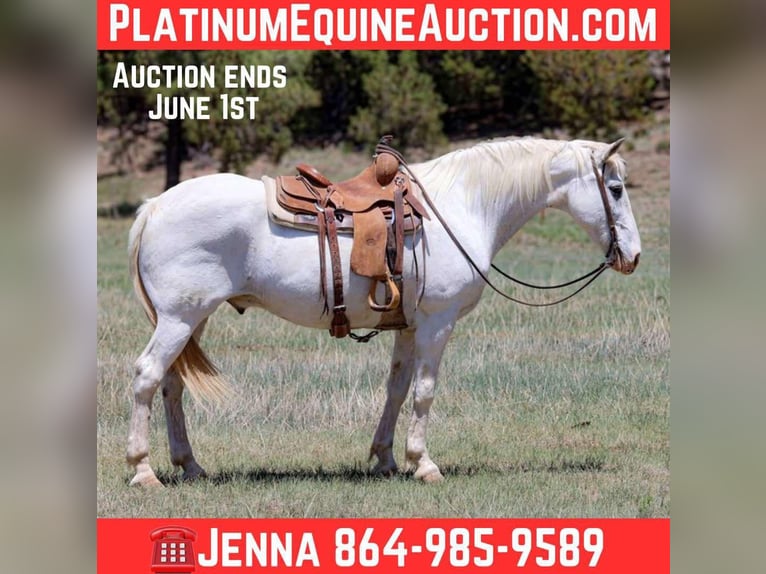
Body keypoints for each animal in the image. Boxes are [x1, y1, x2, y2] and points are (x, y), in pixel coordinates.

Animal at [125, 136, 641, 487]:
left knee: (171, 385)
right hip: (179, 319)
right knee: (148, 375)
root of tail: (155, 206)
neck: (460, 209)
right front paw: (424, 463)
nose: (633, 256)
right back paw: (143, 470)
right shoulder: (437, 322)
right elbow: (425, 392)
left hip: (192, 320)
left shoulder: (409, 327)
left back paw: (190, 465)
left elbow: (396, 389)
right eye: (615, 188)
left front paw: (387, 458)